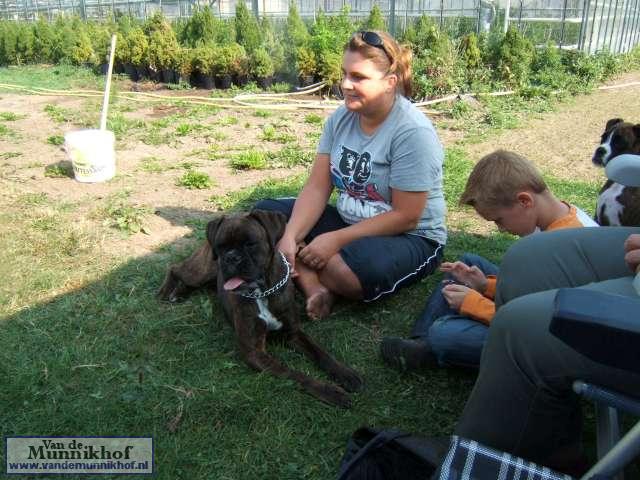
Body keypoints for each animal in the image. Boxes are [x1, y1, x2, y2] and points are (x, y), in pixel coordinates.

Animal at [158, 210, 363, 408]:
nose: (230, 257)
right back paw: (166, 292)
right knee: (175, 268)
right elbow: (294, 374)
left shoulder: (294, 333)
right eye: (221, 246)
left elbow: (320, 353)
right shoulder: (254, 352)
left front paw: (345, 374)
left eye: (250, 244)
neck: (261, 293)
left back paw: (179, 292)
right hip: (201, 271)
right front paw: (330, 392)